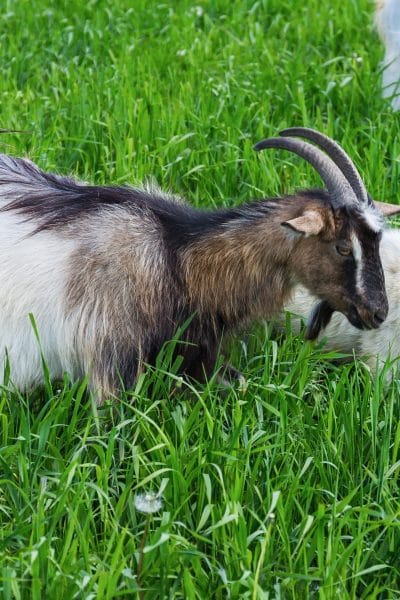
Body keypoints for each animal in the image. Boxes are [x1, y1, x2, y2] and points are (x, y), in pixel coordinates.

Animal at [0, 129, 394, 404]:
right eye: (343, 247)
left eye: (376, 242)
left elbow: (239, 384)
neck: (176, 258)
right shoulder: (109, 359)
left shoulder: (196, 353)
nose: (377, 313)